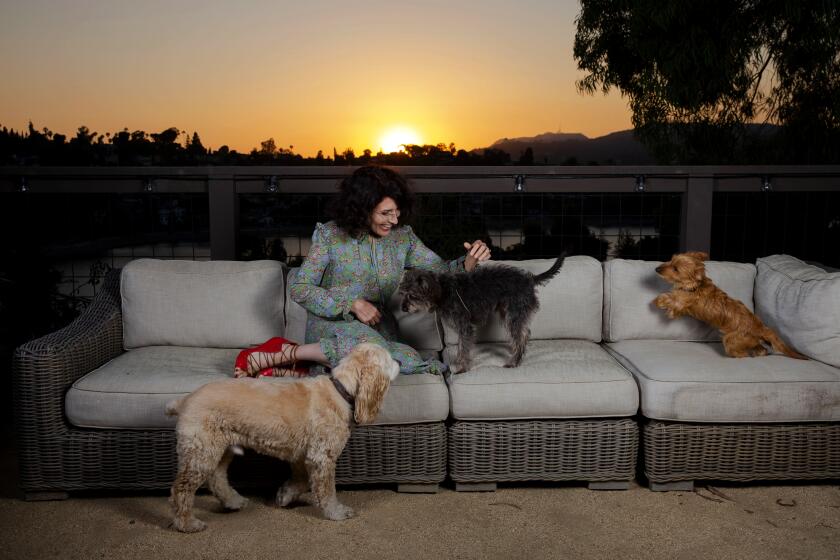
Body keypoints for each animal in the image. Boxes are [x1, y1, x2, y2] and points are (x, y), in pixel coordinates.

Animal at [167, 344, 400, 532]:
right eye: (389, 359)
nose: (399, 361)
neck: (340, 389)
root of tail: (185, 400)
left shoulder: (301, 456)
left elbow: (302, 481)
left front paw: (284, 495)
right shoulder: (321, 457)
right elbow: (327, 490)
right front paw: (336, 512)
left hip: (221, 447)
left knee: (217, 477)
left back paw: (233, 501)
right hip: (201, 450)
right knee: (181, 488)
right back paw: (187, 523)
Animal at [398, 256, 564, 374]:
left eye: (412, 295)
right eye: (402, 294)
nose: (403, 308)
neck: (443, 290)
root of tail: (529, 278)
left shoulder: (465, 326)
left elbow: (464, 346)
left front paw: (462, 368)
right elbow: (462, 346)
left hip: (513, 315)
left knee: (521, 337)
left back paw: (514, 362)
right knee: (523, 334)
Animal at [652, 250, 804, 358]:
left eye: (676, 269)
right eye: (671, 260)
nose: (657, 269)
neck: (695, 285)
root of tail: (760, 327)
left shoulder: (679, 304)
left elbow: (669, 299)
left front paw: (657, 301)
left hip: (730, 340)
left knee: (742, 354)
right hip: (750, 340)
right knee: (760, 348)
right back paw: (759, 352)